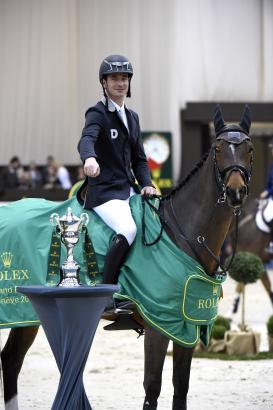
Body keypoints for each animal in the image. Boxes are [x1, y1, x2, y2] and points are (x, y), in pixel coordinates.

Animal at [1, 105, 253, 410]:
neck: (182, 234)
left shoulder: (186, 324)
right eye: (217, 148)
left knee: (11, 359)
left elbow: (181, 387)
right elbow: (152, 387)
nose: (236, 191)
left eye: (249, 148)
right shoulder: (160, 324)